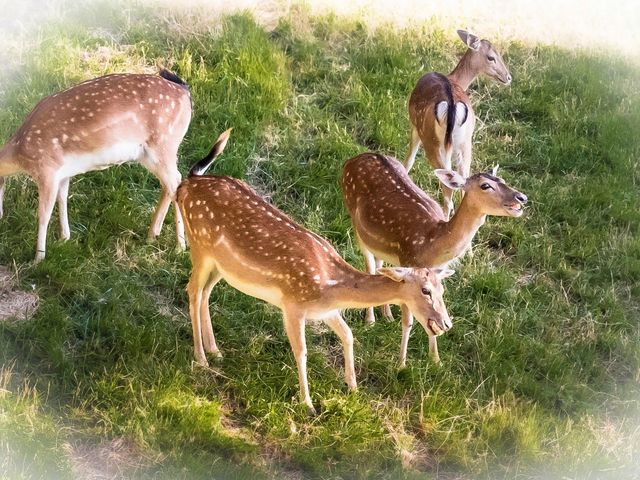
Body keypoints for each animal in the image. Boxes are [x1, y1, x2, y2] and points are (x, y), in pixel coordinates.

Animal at [0, 69, 192, 260]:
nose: (1, 218)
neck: (20, 153)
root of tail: (185, 92)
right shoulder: (63, 172)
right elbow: (62, 198)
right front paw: (64, 238)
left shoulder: (47, 168)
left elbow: (43, 214)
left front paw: (38, 258)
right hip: (150, 154)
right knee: (170, 184)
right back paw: (152, 235)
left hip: (163, 145)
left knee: (176, 181)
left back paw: (180, 246)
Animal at [178, 130, 452, 412]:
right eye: (426, 290)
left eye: (442, 289)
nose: (446, 323)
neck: (331, 286)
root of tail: (187, 183)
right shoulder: (292, 305)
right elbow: (301, 351)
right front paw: (307, 403)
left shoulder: (326, 311)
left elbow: (348, 335)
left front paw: (353, 387)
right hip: (199, 245)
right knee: (193, 291)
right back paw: (201, 358)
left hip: (219, 264)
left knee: (206, 292)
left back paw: (215, 350)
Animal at [342, 152, 528, 366]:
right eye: (485, 185)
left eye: (503, 180)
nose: (522, 197)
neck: (431, 245)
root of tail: (353, 159)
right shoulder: (408, 262)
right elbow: (409, 321)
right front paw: (401, 364)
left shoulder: (434, 275)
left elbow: (434, 312)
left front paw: (436, 360)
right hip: (356, 225)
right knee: (369, 266)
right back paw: (370, 320)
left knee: (379, 265)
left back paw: (387, 315)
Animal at [408, 29, 512, 218]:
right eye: (491, 57)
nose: (508, 77)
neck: (456, 79)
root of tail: (451, 106)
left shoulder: (414, 126)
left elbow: (409, 161)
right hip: (463, 143)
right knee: (463, 183)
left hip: (432, 141)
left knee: (448, 186)